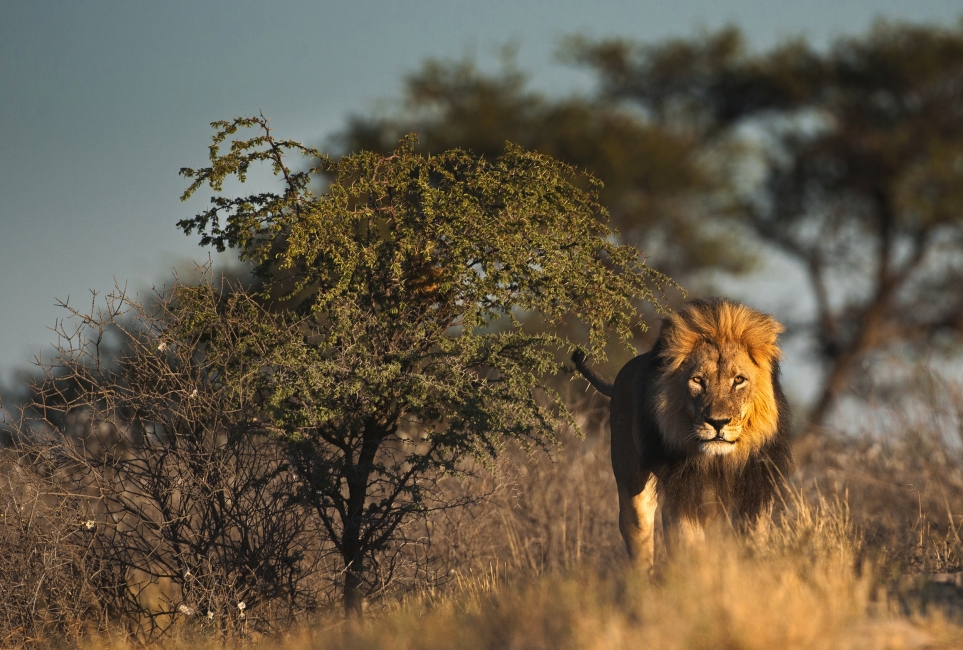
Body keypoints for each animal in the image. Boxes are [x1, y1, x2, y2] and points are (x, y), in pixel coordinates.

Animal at [573, 298, 792, 568]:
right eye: (697, 380)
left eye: (739, 380)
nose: (717, 422)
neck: (718, 462)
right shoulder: (683, 497)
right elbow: (689, 548)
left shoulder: (753, 495)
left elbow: (752, 544)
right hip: (632, 483)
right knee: (639, 535)